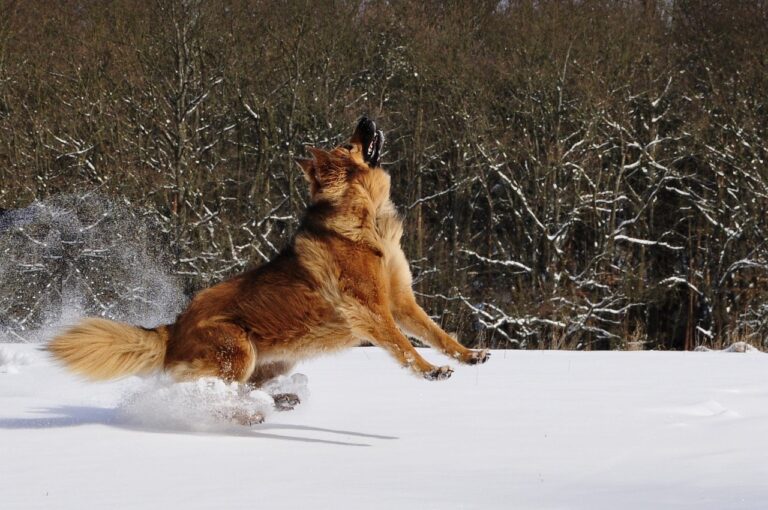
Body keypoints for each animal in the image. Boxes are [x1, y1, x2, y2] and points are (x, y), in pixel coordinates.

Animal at [49, 116, 492, 398]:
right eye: (347, 144)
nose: (366, 117)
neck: (365, 216)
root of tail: (173, 326)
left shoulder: (401, 301)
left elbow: (438, 334)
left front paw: (469, 355)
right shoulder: (371, 309)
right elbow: (403, 345)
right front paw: (430, 371)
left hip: (271, 363)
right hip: (237, 351)